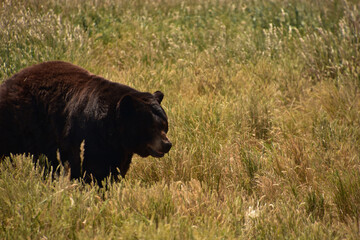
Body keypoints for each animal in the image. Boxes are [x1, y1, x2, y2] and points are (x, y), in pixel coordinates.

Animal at [0, 61, 172, 184]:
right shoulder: (84, 135)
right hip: (17, 123)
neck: (113, 133)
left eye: (164, 126)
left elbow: (114, 169)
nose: (167, 144)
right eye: (151, 127)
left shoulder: (118, 149)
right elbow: (88, 168)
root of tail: (7, 82)